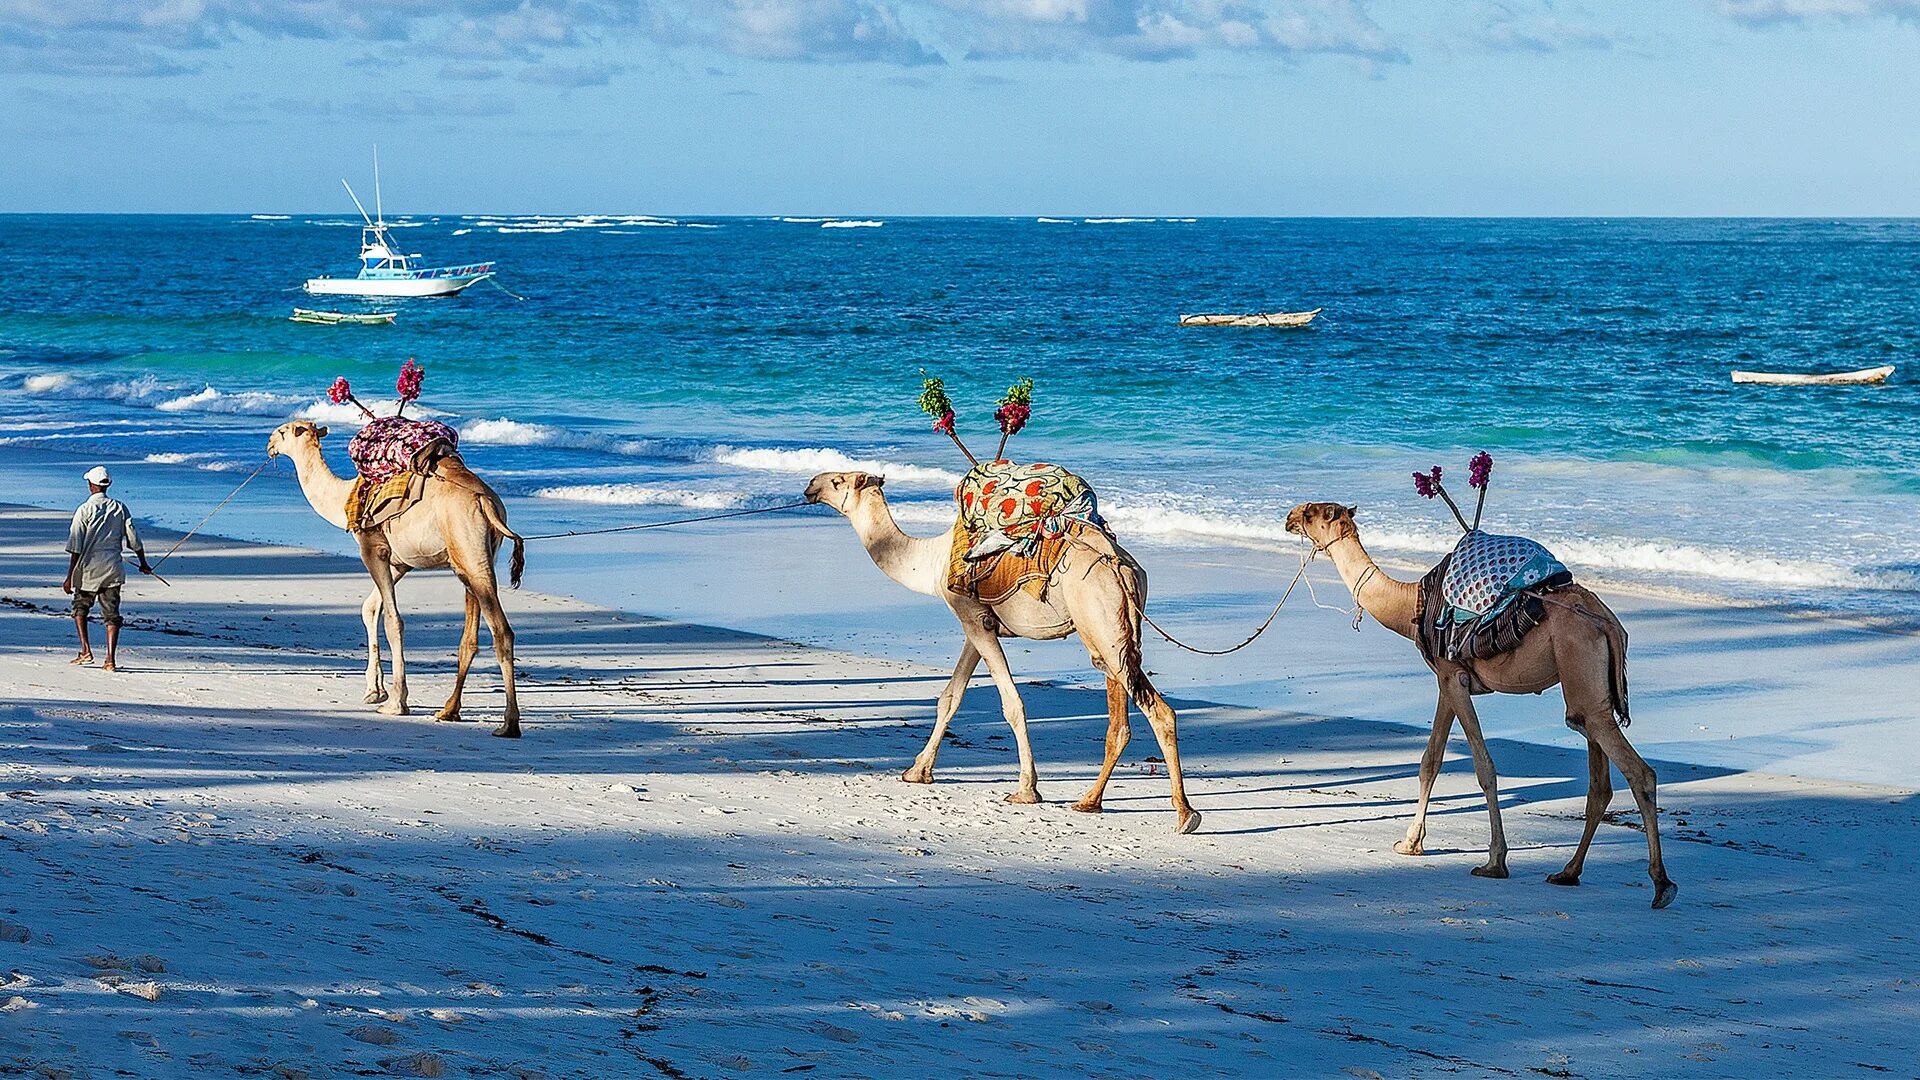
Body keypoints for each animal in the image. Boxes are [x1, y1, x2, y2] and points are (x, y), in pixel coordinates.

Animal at [266, 417, 529, 734]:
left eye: (283, 432)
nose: (269, 444)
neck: (344, 497)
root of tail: (486, 502)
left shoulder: (373, 549)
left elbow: (393, 621)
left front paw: (395, 702)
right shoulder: (399, 562)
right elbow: (370, 608)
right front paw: (373, 690)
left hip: (469, 548)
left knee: (501, 630)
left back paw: (508, 724)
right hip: (472, 557)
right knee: (471, 635)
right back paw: (449, 710)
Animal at [798, 470, 1198, 834]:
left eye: (838, 481)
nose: (810, 486)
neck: (932, 559)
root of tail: (1122, 567)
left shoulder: (972, 618)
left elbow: (1011, 702)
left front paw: (1026, 790)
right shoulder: (977, 622)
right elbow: (950, 697)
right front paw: (917, 771)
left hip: (1101, 620)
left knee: (1158, 711)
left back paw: (1184, 815)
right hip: (1112, 634)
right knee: (1120, 718)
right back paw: (1089, 802)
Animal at [1290, 499, 1681, 903]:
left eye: (1312, 513)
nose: (1289, 517)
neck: (1410, 605)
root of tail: (1608, 622)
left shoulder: (1453, 677)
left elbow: (1484, 767)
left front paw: (1494, 861)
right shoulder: (1446, 679)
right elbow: (1430, 760)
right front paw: (1411, 843)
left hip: (1581, 672)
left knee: (1638, 771)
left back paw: (1661, 884)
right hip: (1588, 688)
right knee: (1598, 779)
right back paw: (1568, 872)